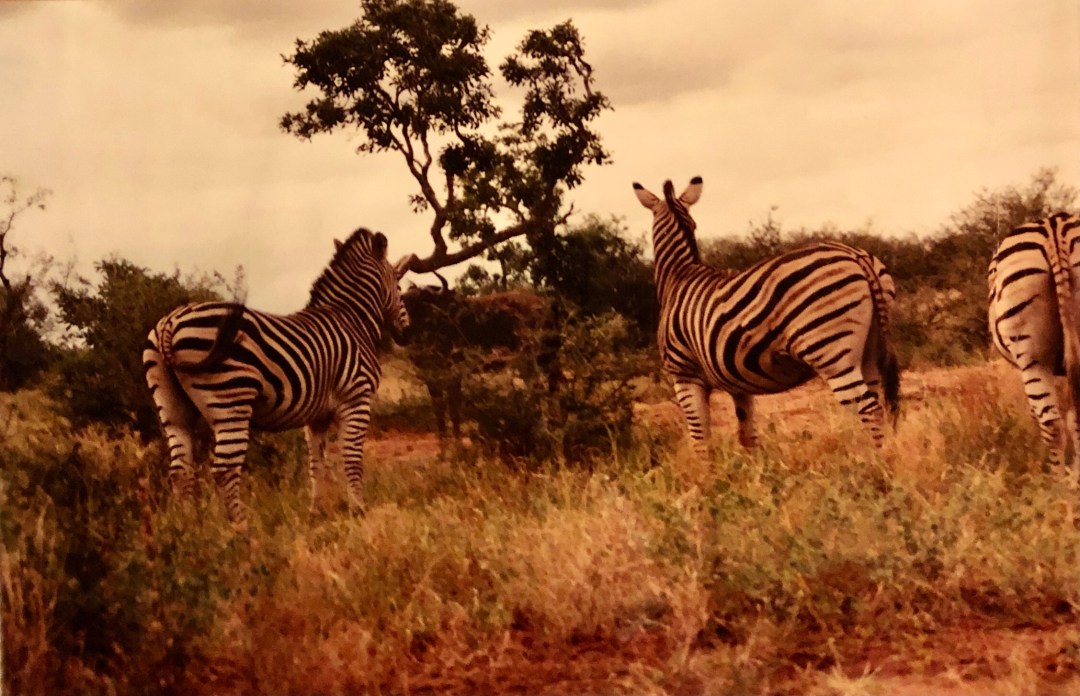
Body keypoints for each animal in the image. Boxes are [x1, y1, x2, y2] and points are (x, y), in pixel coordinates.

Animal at [143, 227, 411, 521]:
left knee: (180, 470)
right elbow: (351, 459)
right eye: (399, 285)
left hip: (172, 407)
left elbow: (316, 463)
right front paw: (358, 510)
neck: (352, 320)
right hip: (231, 400)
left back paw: (188, 525)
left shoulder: (316, 415)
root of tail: (170, 323)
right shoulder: (357, 398)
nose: (407, 333)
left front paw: (316, 512)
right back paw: (240, 526)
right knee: (224, 469)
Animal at [633, 177, 900, 458]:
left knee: (866, 408)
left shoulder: (684, 375)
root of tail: (856, 256)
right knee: (876, 405)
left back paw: (870, 462)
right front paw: (754, 469)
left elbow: (701, 441)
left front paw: (708, 470)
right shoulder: (736, 382)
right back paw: (879, 457)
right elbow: (747, 435)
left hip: (830, 352)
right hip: (869, 350)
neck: (679, 276)